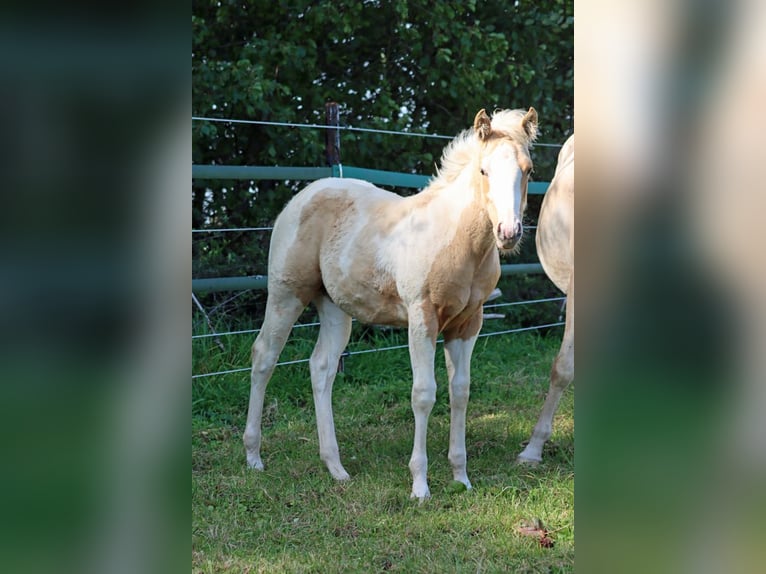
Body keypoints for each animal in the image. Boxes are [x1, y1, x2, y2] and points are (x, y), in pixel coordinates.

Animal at [244, 107, 539, 500]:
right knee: (264, 356)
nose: (509, 233)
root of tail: (303, 194)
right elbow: (424, 394)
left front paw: (461, 477)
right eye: (483, 171)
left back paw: (336, 467)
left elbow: (460, 392)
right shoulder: (422, 317)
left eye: (528, 170)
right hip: (286, 294)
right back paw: (253, 456)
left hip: (335, 307)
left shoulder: (468, 323)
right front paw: (420, 486)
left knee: (321, 367)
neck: (457, 242)